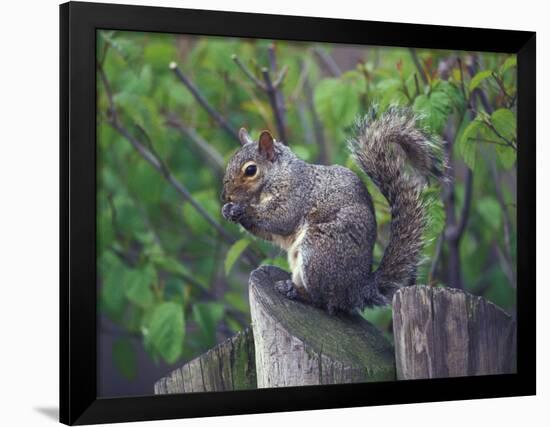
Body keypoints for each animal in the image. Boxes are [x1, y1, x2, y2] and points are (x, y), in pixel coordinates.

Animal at [221, 107, 448, 314]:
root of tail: (358, 289)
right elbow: (268, 232)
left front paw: (242, 209)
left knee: (323, 301)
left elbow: (280, 218)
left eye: (251, 170)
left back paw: (295, 291)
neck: (277, 175)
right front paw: (227, 210)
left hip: (318, 252)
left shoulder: (295, 194)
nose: (226, 196)